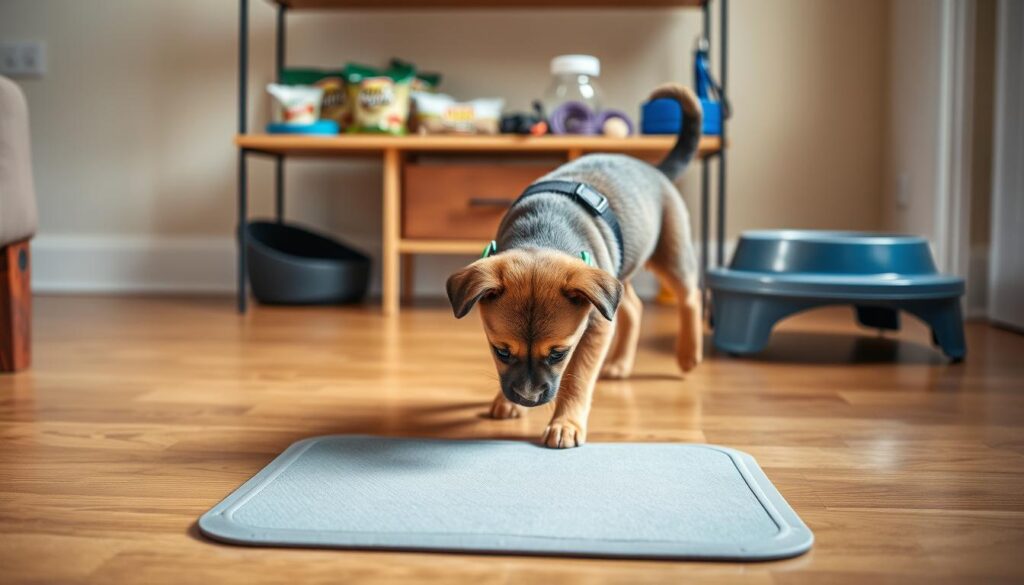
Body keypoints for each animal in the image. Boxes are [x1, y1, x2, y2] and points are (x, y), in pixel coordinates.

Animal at [448, 83, 704, 448]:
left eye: (558, 354)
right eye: (501, 352)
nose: (528, 399)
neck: (543, 236)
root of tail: (657, 171)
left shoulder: (594, 328)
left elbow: (578, 379)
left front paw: (565, 424)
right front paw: (507, 403)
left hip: (670, 254)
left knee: (690, 296)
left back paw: (687, 354)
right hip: (616, 276)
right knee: (634, 307)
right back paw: (620, 364)